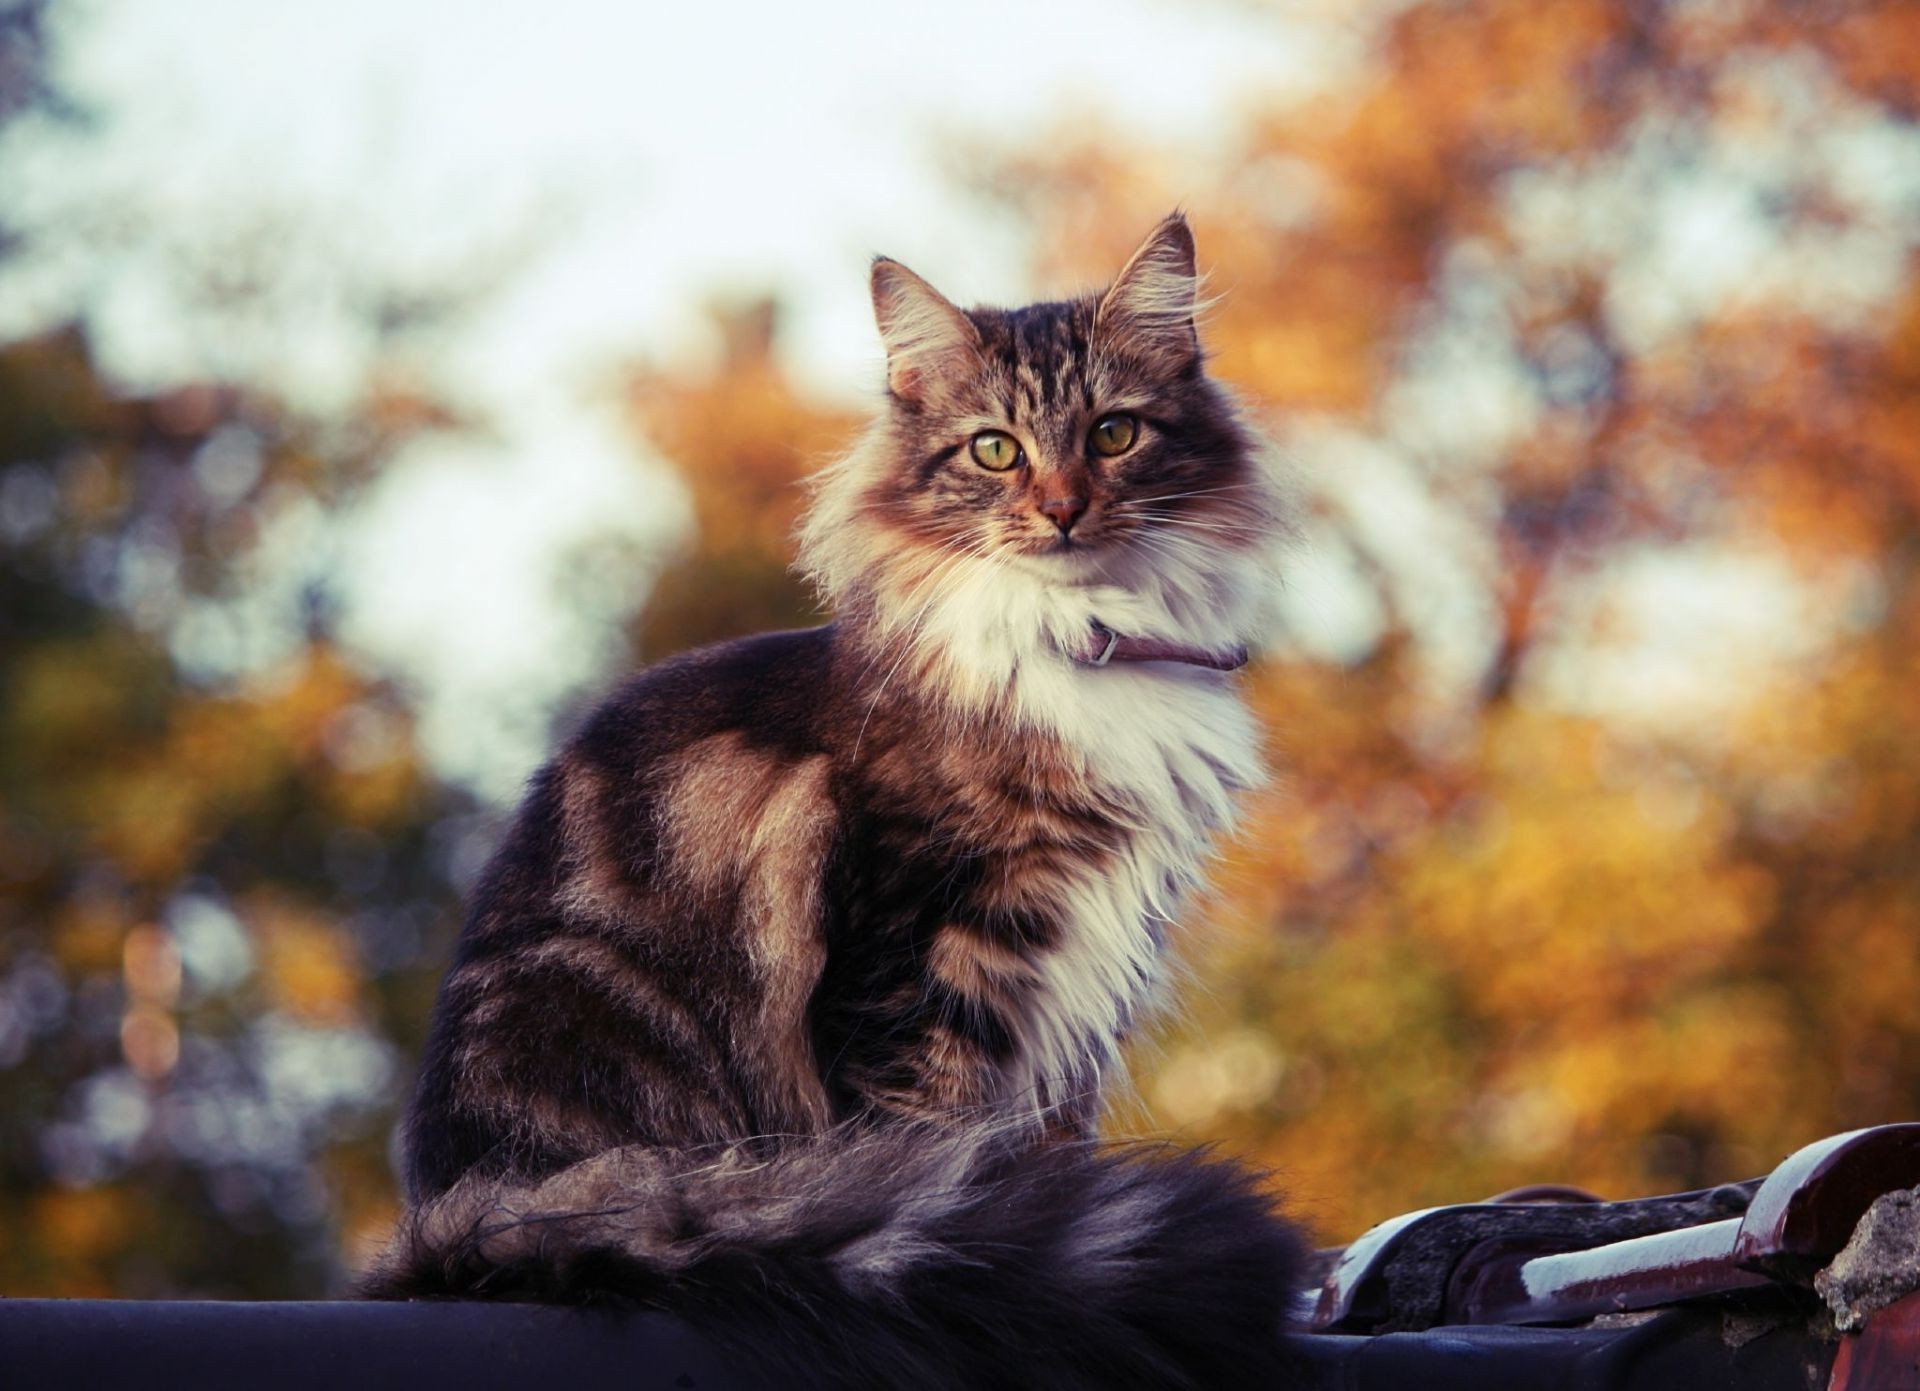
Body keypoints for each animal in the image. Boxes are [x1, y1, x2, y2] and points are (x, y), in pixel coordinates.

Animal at [362, 212, 1305, 1383]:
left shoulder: (1081, 982)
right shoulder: (921, 952)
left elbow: (1046, 1155)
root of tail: (456, 1219)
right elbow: (942, 1150)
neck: (1083, 650)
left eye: (1116, 432)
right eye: (995, 448)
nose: (1061, 510)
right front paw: (993, 1269)